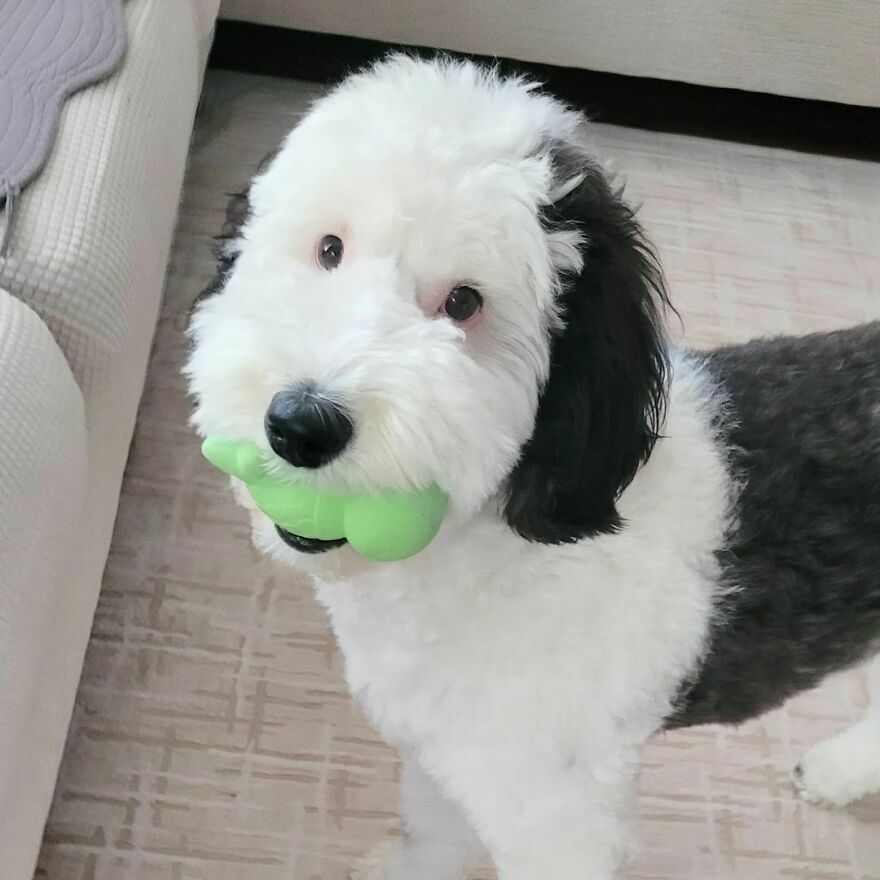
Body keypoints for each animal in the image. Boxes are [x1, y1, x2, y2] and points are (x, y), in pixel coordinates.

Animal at [187, 55, 880, 880]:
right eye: (329, 249)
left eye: (464, 301)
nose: (301, 424)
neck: (489, 549)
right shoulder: (444, 754)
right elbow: (437, 832)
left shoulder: (556, 813)